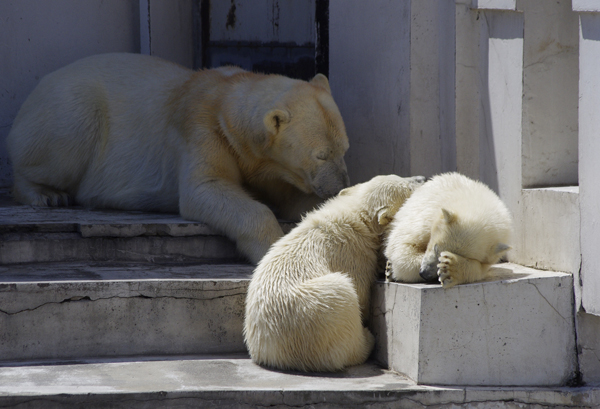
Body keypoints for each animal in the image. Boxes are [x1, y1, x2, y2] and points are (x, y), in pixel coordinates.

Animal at [7, 52, 350, 262]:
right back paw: (46, 194)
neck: (225, 97)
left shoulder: (270, 167)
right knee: (68, 132)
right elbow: (206, 187)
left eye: (344, 148)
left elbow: (293, 197)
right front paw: (271, 246)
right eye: (321, 155)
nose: (339, 185)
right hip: (69, 105)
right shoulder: (203, 131)